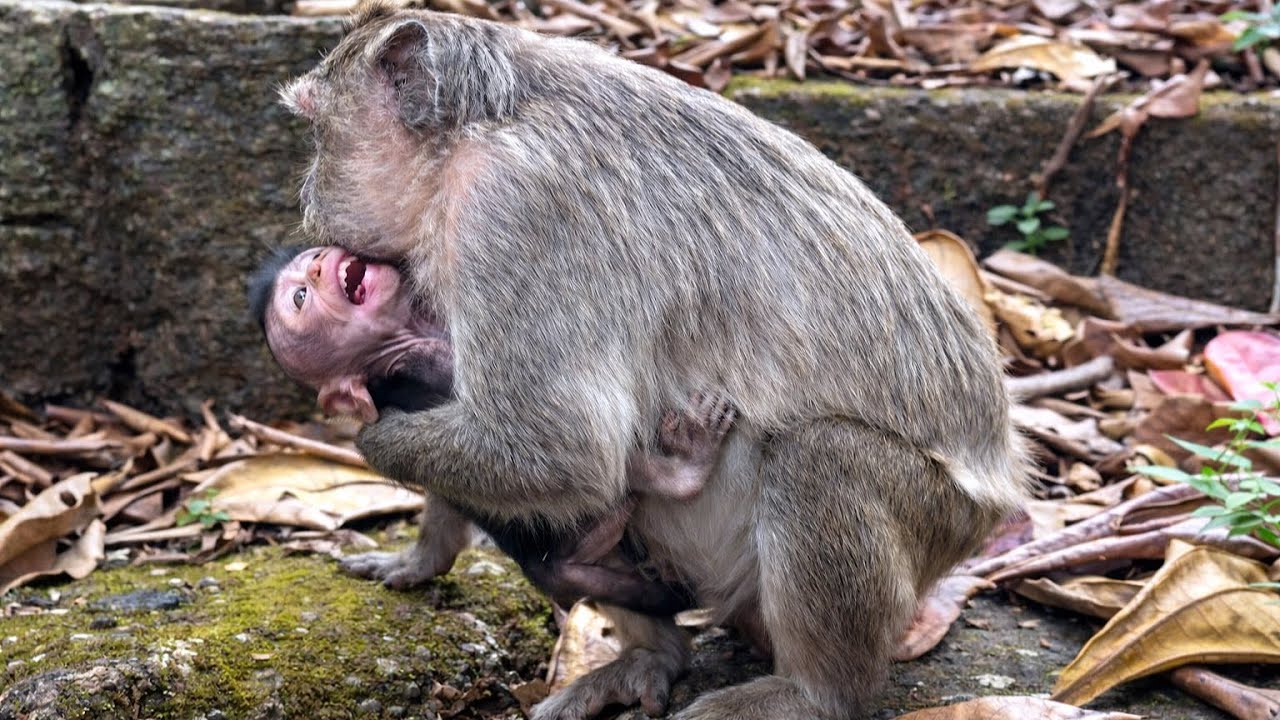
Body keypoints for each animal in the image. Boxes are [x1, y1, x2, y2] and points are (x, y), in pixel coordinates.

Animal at [247, 244, 732, 615]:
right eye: (300, 297)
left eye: (312, 262)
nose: (321, 262)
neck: (407, 330)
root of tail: (543, 565)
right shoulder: (411, 362)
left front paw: (420, 559)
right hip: (578, 532)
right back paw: (682, 472)